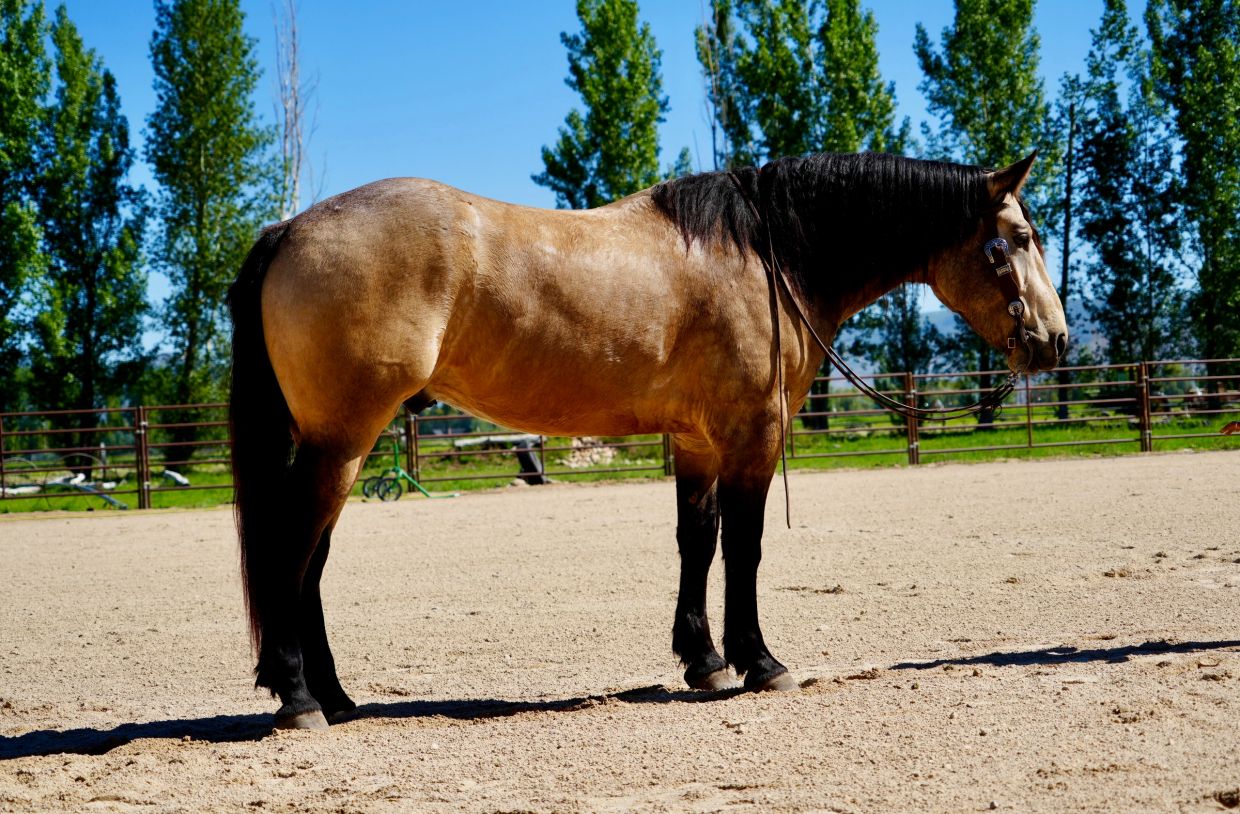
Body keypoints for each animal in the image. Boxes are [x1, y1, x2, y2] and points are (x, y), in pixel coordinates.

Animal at [228, 150, 1068, 729]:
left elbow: (697, 543)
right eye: (1019, 236)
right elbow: (746, 548)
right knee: (290, 549)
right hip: (342, 441)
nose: (1054, 341)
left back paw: (336, 695)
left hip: (344, 442)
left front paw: (704, 661)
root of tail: (290, 228)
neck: (765, 254)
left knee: (309, 562)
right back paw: (298, 697)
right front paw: (761, 662)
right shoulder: (752, 435)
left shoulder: (696, 442)